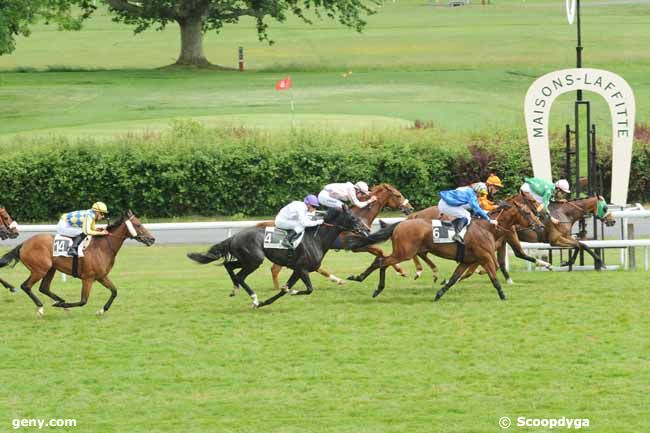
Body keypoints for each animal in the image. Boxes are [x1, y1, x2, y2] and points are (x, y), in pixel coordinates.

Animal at [0, 210, 156, 316]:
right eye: (138, 225)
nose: (152, 239)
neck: (103, 247)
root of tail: (24, 244)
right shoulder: (88, 278)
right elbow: (83, 301)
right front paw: (64, 305)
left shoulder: (101, 276)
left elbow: (114, 291)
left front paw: (102, 310)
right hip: (40, 269)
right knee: (26, 286)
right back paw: (42, 307)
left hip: (50, 269)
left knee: (44, 288)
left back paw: (61, 302)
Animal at [187, 206, 370, 308]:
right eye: (353, 217)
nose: (366, 230)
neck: (316, 238)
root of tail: (234, 237)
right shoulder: (302, 268)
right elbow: (307, 289)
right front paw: (291, 292)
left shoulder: (297, 270)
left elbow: (285, 289)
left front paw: (266, 302)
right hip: (254, 260)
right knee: (239, 276)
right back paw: (254, 298)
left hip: (246, 259)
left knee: (229, 267)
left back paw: (236, 290)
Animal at [253, 182, 410, 294]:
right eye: (398, 195)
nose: (410, 208)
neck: (359, 216)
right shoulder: (354, 245)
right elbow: (380, 251)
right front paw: (400, 269)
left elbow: (380, 252)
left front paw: (398, 269)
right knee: (275, 269)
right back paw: (278, 288)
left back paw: (336, 280)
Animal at [346, 202, 540, 300]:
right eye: (527, 213)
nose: (539, 225)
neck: (487, 227)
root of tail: (401, 223)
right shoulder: (485, 257)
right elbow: (494, 277)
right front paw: (503, 295)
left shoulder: (467, 261)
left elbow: (454, 279)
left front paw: (439, 294)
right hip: (404, 253)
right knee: (381, 261)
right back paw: (366, 282)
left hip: (403, 252)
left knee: (382, 262)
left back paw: (370, 284)